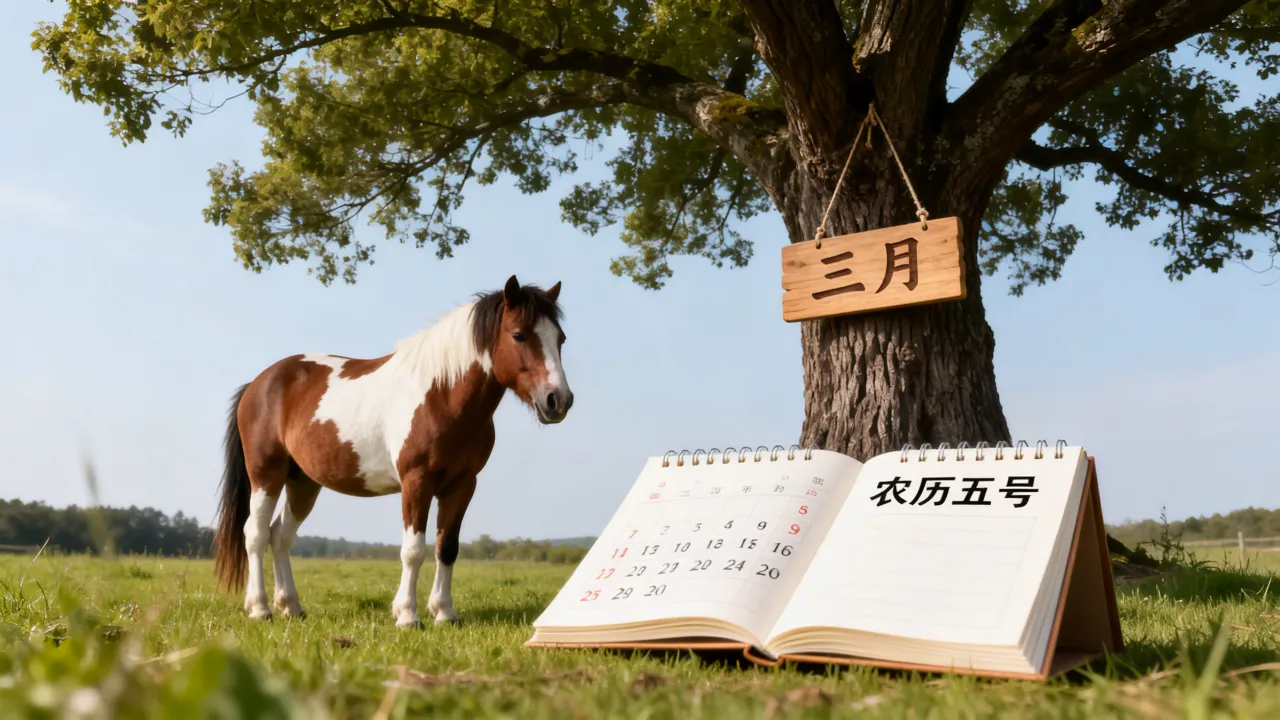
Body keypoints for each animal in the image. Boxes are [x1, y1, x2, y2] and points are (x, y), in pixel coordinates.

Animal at [211, 275, 572, 627]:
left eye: (561, 338)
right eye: (518, 335)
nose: (558, 400)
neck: (442, 395)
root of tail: (258, 384)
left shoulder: (462, 485)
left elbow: (447, 547)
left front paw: (444, 612)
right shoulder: (416, 482)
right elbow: (413, 550)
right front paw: (408, 615)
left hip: (303, 483)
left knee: (280, 536)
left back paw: (291, 607)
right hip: (266, 474)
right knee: (255, 534)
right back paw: (260, 608)